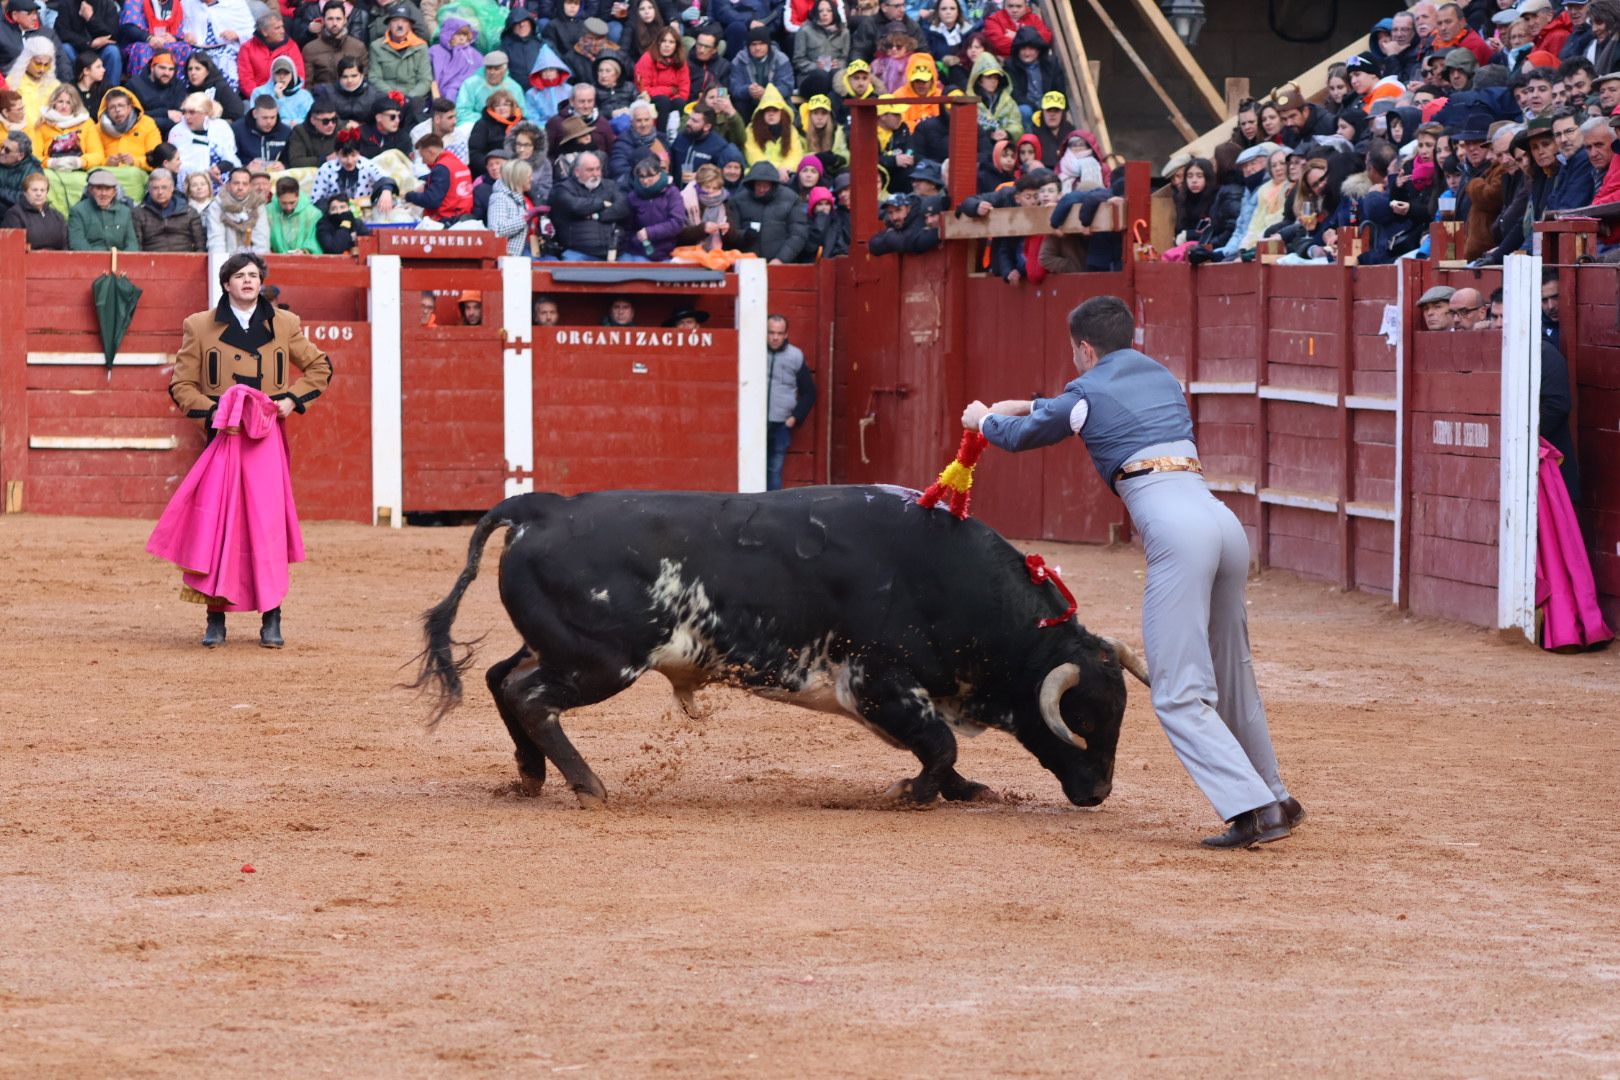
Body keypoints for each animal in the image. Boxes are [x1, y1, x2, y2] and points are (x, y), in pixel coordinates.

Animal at [417, 485, 1153, 806]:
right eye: (1084, 718)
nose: (1098, 792)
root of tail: (545, 507)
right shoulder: (878, 682)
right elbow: (939, 744)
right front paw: (912, 793)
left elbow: (940, 748)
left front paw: (966, 790)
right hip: (600, 661)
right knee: (528, 694)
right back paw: (588, 785)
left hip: (560, 648)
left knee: (502, 680)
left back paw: (531, 774)